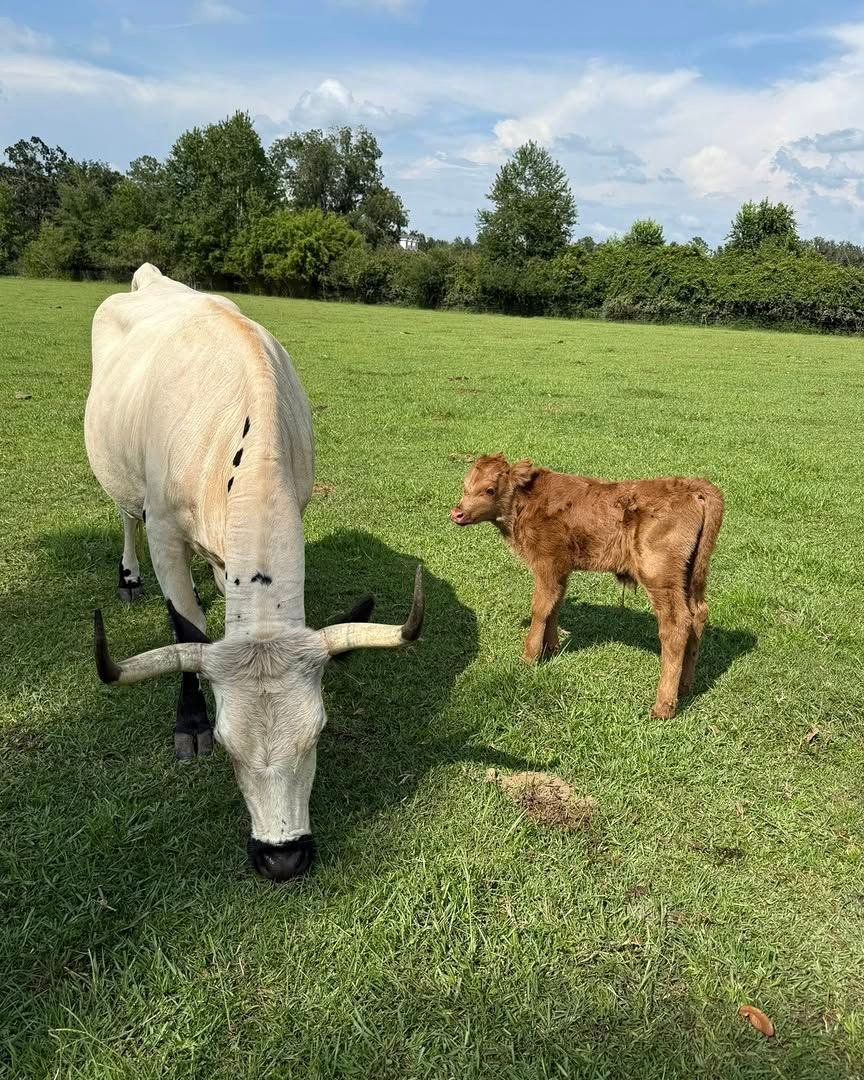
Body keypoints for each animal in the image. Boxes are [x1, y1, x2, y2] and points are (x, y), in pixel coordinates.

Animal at [85, 264, 423, 882]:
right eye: (225, 743)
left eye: (318, 732)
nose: (282, 856)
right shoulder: (164, 529)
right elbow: (184, 629)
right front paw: (189, 722)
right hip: (122, 481)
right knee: (124, 515)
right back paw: (129, 578)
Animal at [450, 454, 723, 719]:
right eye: (465, 486)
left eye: (490, 489)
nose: (457, 513)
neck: (528, 503)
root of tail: (691, 486)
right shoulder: (561, 569)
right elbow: (555, 605)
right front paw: (552, 649)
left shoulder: (546, 563)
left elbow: (540, 608)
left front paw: (528, 657)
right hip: (691, 577)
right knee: (698, 615)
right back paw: (685, 687)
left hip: (659, 576)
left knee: (676, 625)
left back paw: (663, 707)